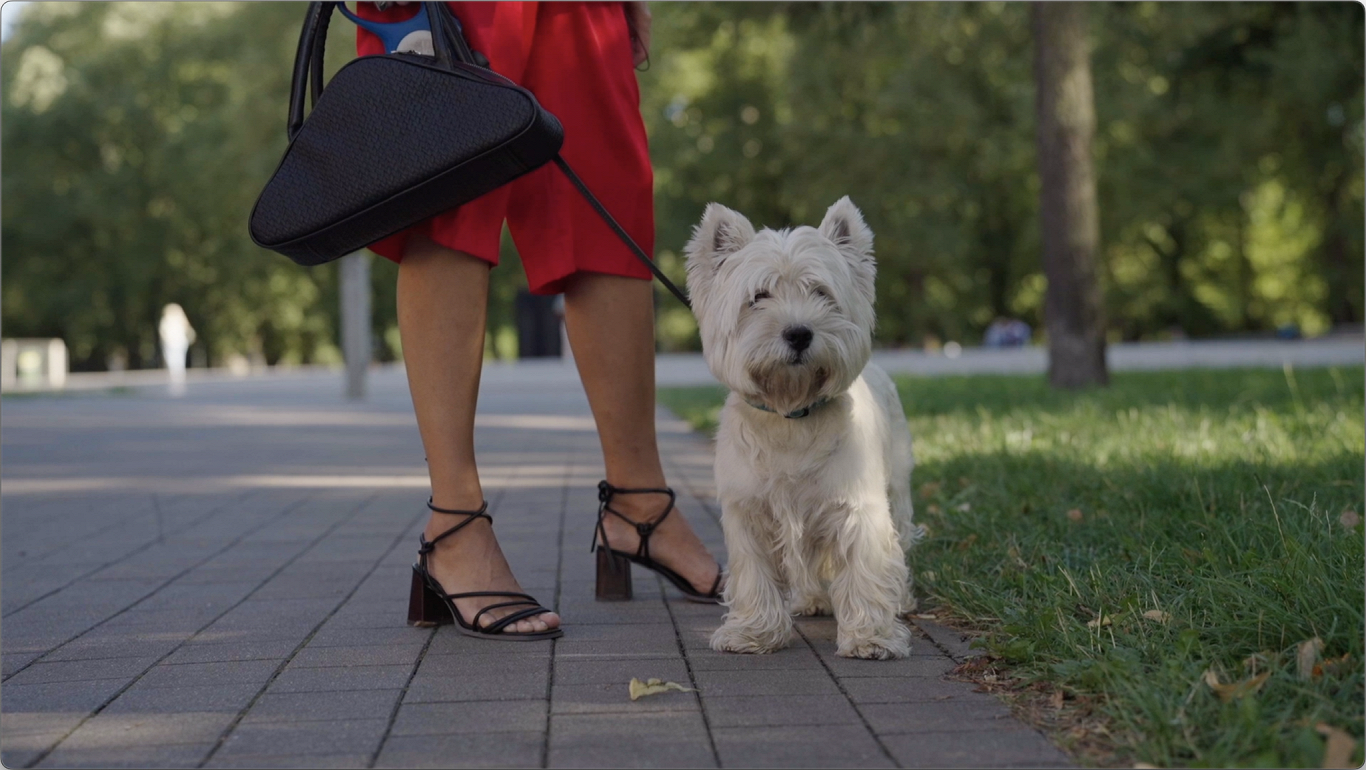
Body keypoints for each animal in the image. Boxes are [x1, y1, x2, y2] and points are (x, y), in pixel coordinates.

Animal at [688, 195, 923, 658]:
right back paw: (812, 599)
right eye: (758, 296)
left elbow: (867, 565)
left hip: (895, 485)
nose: (798, 333)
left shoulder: (856, 505)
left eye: (821, 292)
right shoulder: (749, 511)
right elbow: (755, 574)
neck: (790, 416)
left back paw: (900, 600)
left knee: (899, 537)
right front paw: (753, 632)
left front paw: (871, 636)